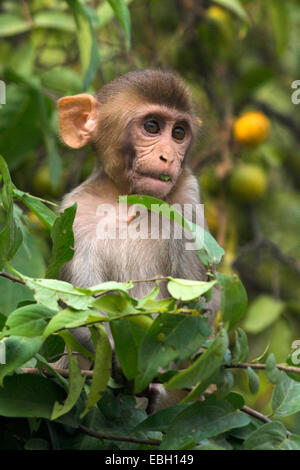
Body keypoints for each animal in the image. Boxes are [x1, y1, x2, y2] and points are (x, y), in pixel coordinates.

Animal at [57, 70, 219, 412]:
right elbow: (78, 307)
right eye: (152, 127)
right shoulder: (74, 214)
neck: (126, 197)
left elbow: (200, 303)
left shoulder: (188, 197)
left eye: (179, 133)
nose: (169, 157)